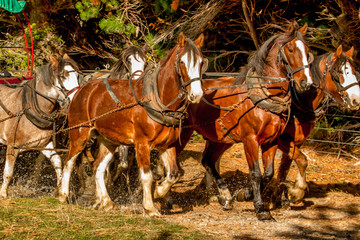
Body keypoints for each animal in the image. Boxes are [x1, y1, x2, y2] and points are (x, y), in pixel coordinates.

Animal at [0, 55, 79, 198]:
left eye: (77, 75)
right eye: (63, 76)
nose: (78, 97)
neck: (30, 107)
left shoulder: (43, 144)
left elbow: (57, 162)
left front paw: (58, 190)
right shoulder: (12, 146)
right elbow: (8, 172)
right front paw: (3, 194)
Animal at [57, 32, 205, 216]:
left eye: (201, 62)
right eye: (183, 62)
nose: (197, 94)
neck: (157, 100)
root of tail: (83, 89)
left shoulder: (167, 145)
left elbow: (173, 174)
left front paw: (159, 192)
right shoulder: (142, 144)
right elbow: (147, 176)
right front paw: (149, 207)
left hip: (108, 140)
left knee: (98, 167)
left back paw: (106, 201)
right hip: (79, 134)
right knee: (69, 162)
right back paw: (63, 195)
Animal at [172, 23, 312, 220]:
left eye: (307, 50)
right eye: (291, 49)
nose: (306, 83)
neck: (263, 97)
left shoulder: (272, 141)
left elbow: (268, 174)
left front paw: (244, 194)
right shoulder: (250, 140)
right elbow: (256, 173)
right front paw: (260, 208)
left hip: (221, 139)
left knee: (207, 161)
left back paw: (225, 197)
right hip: (182, 134)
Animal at [264, 45, 360, 206]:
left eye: (355, 72)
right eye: (339, 72)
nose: (356, 100)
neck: (298, 102)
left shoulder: (296, 141)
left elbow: (285, 168)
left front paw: (278, 197)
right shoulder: (281, 140)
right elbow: (302, 161)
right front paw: (297, 191)